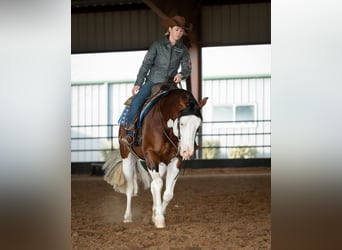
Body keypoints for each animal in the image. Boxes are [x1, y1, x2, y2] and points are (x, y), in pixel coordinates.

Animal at [103, 86, 207, 229]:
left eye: (198, 126)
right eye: (182, 124)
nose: (188, 151)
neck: (164, 125)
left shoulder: (176, 161)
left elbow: (168, 193)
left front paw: (157, 214)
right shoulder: (151, 156)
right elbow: (158, 184)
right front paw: (159, 219)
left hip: (161, 165)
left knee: (152, 184)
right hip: (127, 157)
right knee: (130, 188)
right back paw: (127, 217)